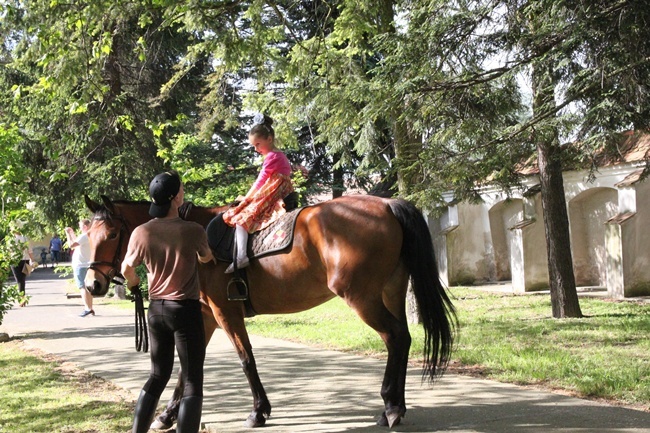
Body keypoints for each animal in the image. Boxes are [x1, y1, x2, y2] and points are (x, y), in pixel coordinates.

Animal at [83, 194, 454, 426]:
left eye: (112, 233)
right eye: (88, 234)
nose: (93, 285)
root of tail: (387, 204)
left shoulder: (224, 313)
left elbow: (246, 358)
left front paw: (259, 411)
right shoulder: (204, 317)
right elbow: (188, 370)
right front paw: (167, 414)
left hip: (362, 297)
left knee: (394, 337)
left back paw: (390, 406)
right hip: (390, 291)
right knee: (403, 339)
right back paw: (396, 405)